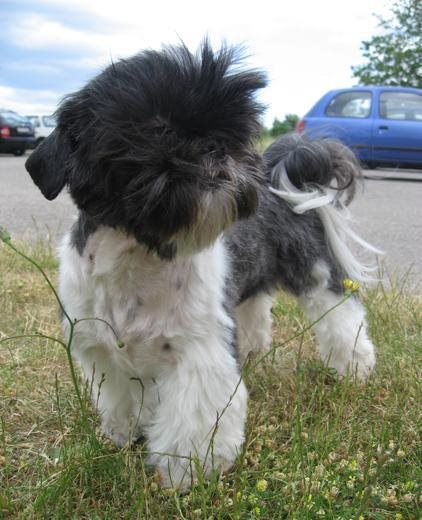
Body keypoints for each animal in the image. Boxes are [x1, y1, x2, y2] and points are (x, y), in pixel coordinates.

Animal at [25, 41, 376, 492]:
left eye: (232, 134)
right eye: (158, 129)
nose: (214, 146)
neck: (143, 255)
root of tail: (284, 182)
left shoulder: (199, 353)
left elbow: (193, 421)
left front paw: (186, 473)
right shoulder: (104, 349)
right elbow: (122, 398)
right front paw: (122, 434)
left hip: (316, 276)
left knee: (342, 319)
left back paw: (355, 369)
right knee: (255, 311)